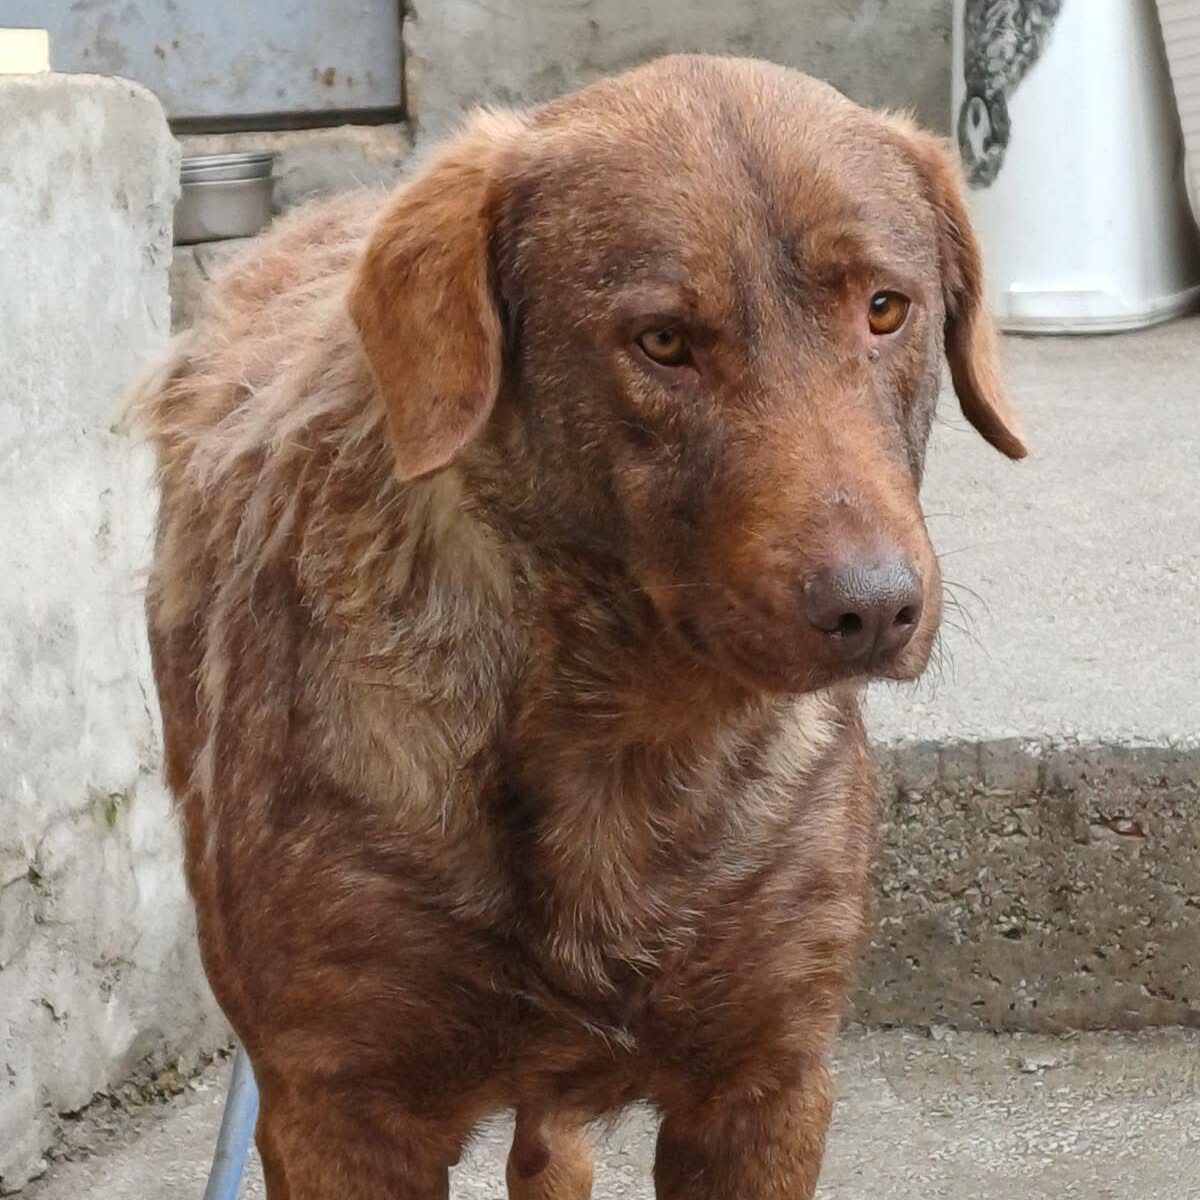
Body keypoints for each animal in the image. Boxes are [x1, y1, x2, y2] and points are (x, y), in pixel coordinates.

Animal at [137, 54, 1024, 1199]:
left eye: (885, 309)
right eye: (663, 341)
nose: (872, 607)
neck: (620, 735)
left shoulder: (767, 1086)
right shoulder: (334, 1107)